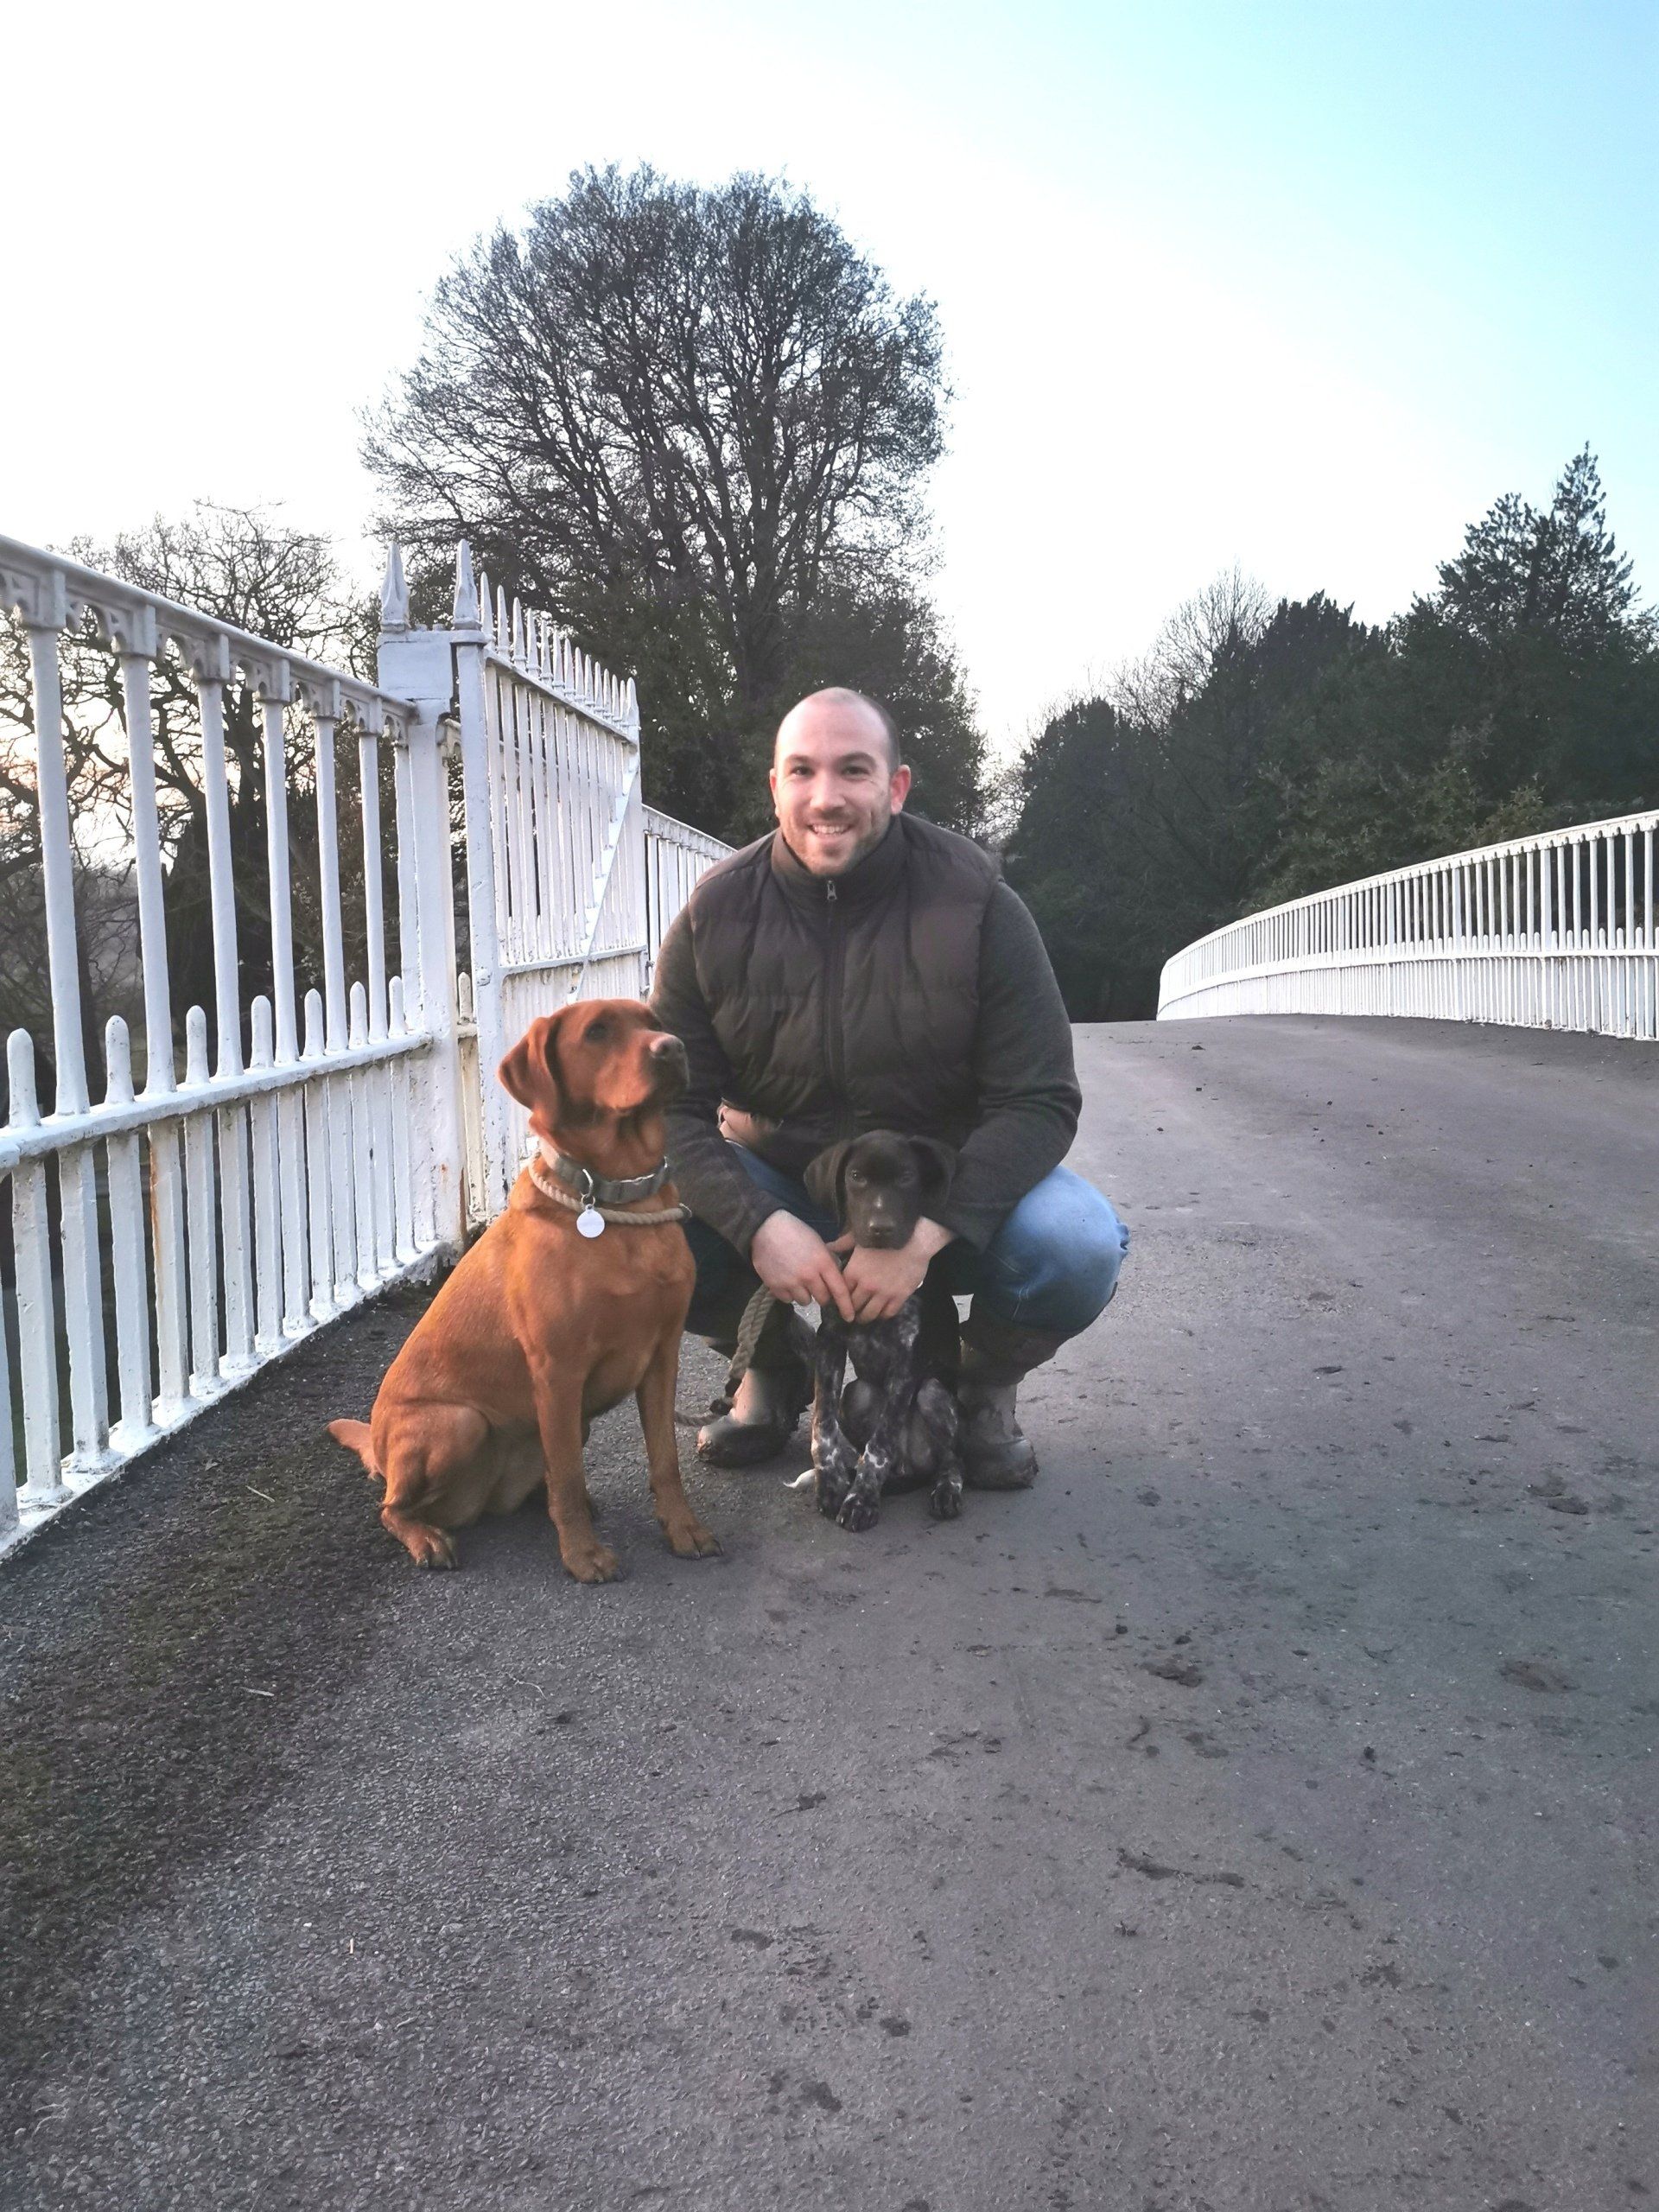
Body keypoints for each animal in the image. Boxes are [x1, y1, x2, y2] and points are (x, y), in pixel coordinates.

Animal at [328, 999, 718, 1582]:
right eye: (597, 1032)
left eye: (653, 1023)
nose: (672, 1047)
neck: (618, 1202)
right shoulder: (557, 1371)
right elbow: (571, 1478)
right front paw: (582, 1556)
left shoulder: (662, 1357)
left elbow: (665, 1459)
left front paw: (683, 1528)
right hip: (458, 1423)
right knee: (392, 1508)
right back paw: (426, 1536)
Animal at [798, 1131, 965, 1532]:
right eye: (856, 1177)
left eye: (906, 1178)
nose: (881, 1228)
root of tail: (911, 1468)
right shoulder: (829, 1340)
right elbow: (823, 1424)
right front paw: (832, 1483)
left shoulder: (908, 1360)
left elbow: (881, 1444)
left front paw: (861, 1500)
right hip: (856, 1394)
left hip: (934, 1393)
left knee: (951, 1459)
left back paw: (946, 1489)